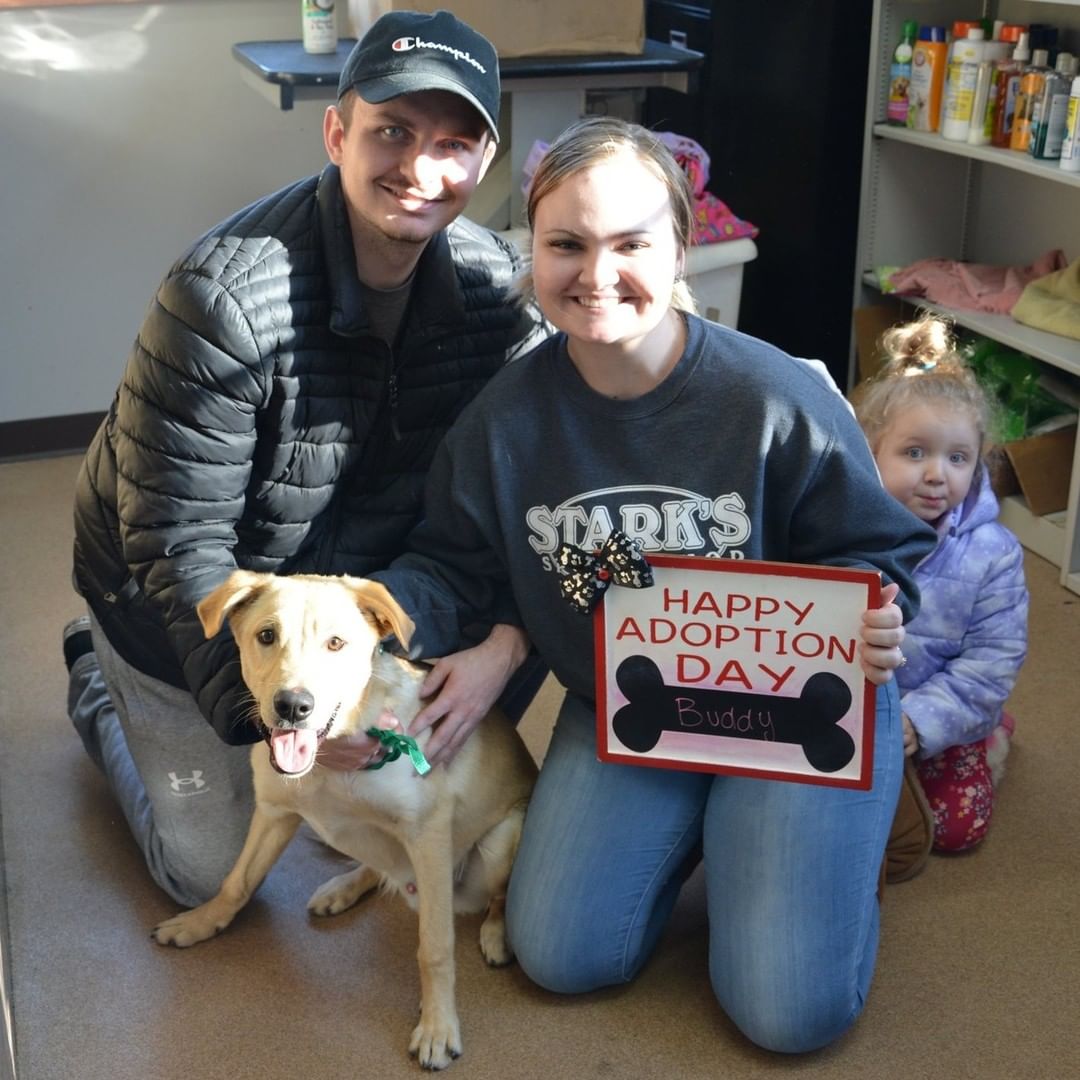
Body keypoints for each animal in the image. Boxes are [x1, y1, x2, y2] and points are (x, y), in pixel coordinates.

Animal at [150, 570, 537, 1067]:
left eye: (336, 643)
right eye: (266, 636)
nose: (293, 706)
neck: (331, 759)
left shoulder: (428, 835)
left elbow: (434, 947)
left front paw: (437, 1026)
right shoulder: (274, 812)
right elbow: (236, 881)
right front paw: (200, 922)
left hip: (497, 842)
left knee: (498, 898)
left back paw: (494, 934)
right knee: (379, 867)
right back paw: (341, 889)